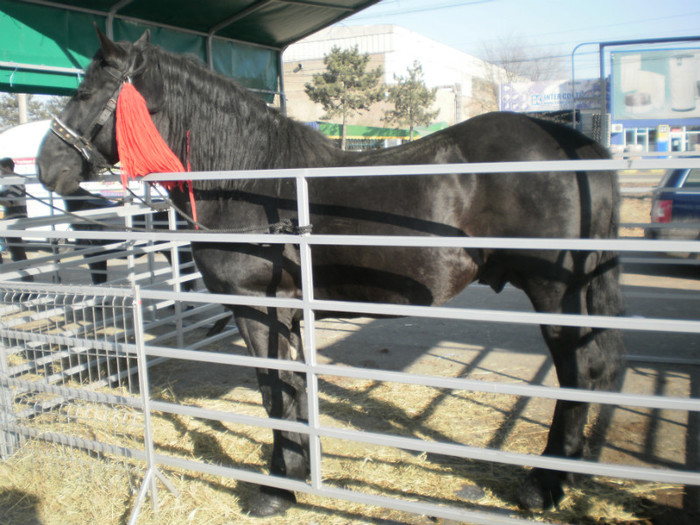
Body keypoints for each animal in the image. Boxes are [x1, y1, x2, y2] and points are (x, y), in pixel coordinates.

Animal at [35, 30, 628, 516]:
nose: (46, 168)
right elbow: (295, 389)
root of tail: (576, 146)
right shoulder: (288, 311)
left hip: (554, 293)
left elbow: (274, 391)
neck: (249, 180)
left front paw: (275, 490)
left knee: (581, 371)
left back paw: (543, 486)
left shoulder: (258, 307)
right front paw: (298, 471)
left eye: (85, 92)